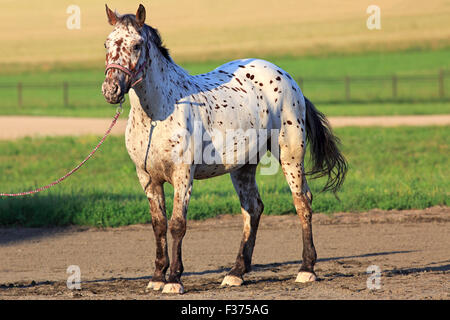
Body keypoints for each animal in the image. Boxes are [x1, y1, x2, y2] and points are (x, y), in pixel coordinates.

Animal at [102, 5, 348, 296]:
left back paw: (306, 269)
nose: (111, 90)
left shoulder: (182, 176)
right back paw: (236, 273)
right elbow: (158, 225)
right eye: (107, 43)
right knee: (253, 208)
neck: (159, 112)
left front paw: (174, 280)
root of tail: (286, 77)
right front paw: (157, 277)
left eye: (137, 45)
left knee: (302, 202)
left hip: (290, 155)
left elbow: (177, 224)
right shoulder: (148, 178)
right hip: (243, 167)